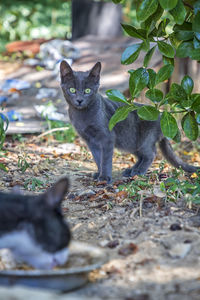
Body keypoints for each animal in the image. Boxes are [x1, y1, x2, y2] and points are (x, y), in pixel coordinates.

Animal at [60, 60, 199, 183]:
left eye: (87, 91)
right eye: (72, 90)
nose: (79, 100)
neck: (82, 115)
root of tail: (160, 114)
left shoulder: (107, 138)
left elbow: (105, 159)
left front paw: (104, 177)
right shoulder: (90, 141)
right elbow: (97, 158)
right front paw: (99, 173)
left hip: (144, 139)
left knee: (150, 154)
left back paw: (138, 171)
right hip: (131, 142)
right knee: (141, 156)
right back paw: (131, 170)